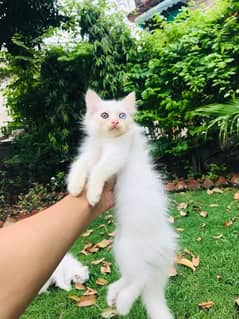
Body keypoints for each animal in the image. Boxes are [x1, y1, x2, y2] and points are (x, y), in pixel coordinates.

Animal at [66, 90, 176, 319]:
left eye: (123, 115)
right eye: (105, 115)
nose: (116, 122)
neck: (104, 143)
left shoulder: (116, 156)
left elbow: (98, 171)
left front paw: (93, 194)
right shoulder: (89, 154)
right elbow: (78, 166)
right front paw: (74, 187)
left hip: (129, 250)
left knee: (140, 280)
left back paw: (123, 303)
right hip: (120, 249)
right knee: (132, 278)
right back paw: (113, 294)